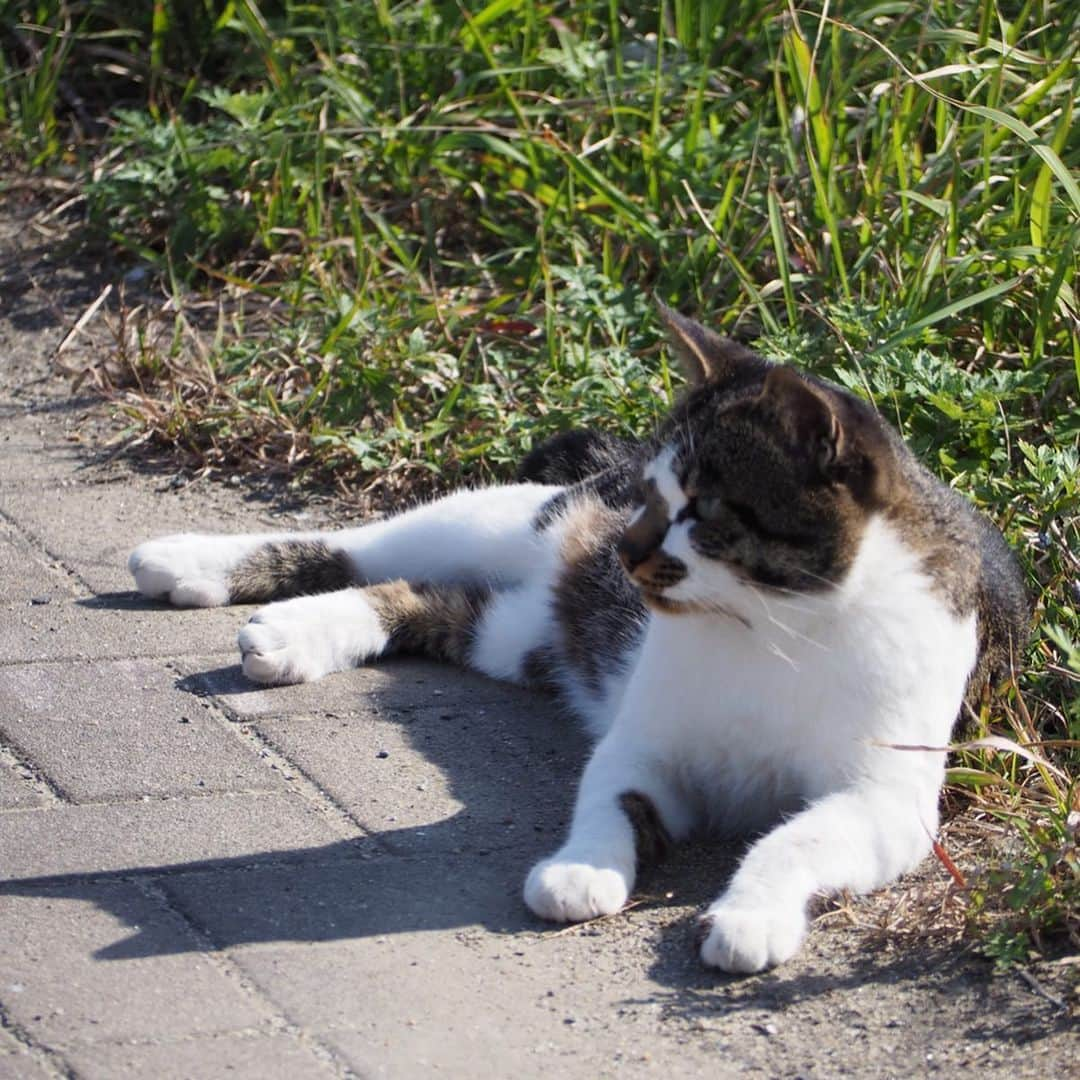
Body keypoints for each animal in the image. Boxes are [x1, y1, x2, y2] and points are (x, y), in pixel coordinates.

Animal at [128, 306, 1028, 980]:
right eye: (655, 495)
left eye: (703, 509)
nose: (626, 549)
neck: (773, 630)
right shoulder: (643, 744)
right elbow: (612, 800)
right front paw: (584, 868)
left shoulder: (887, 801)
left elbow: (794, 836)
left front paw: (752, 912)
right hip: (510, 519)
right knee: (367, 543)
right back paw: (191, 564)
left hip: (517, 634)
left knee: (423, 600)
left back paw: (296, 632)